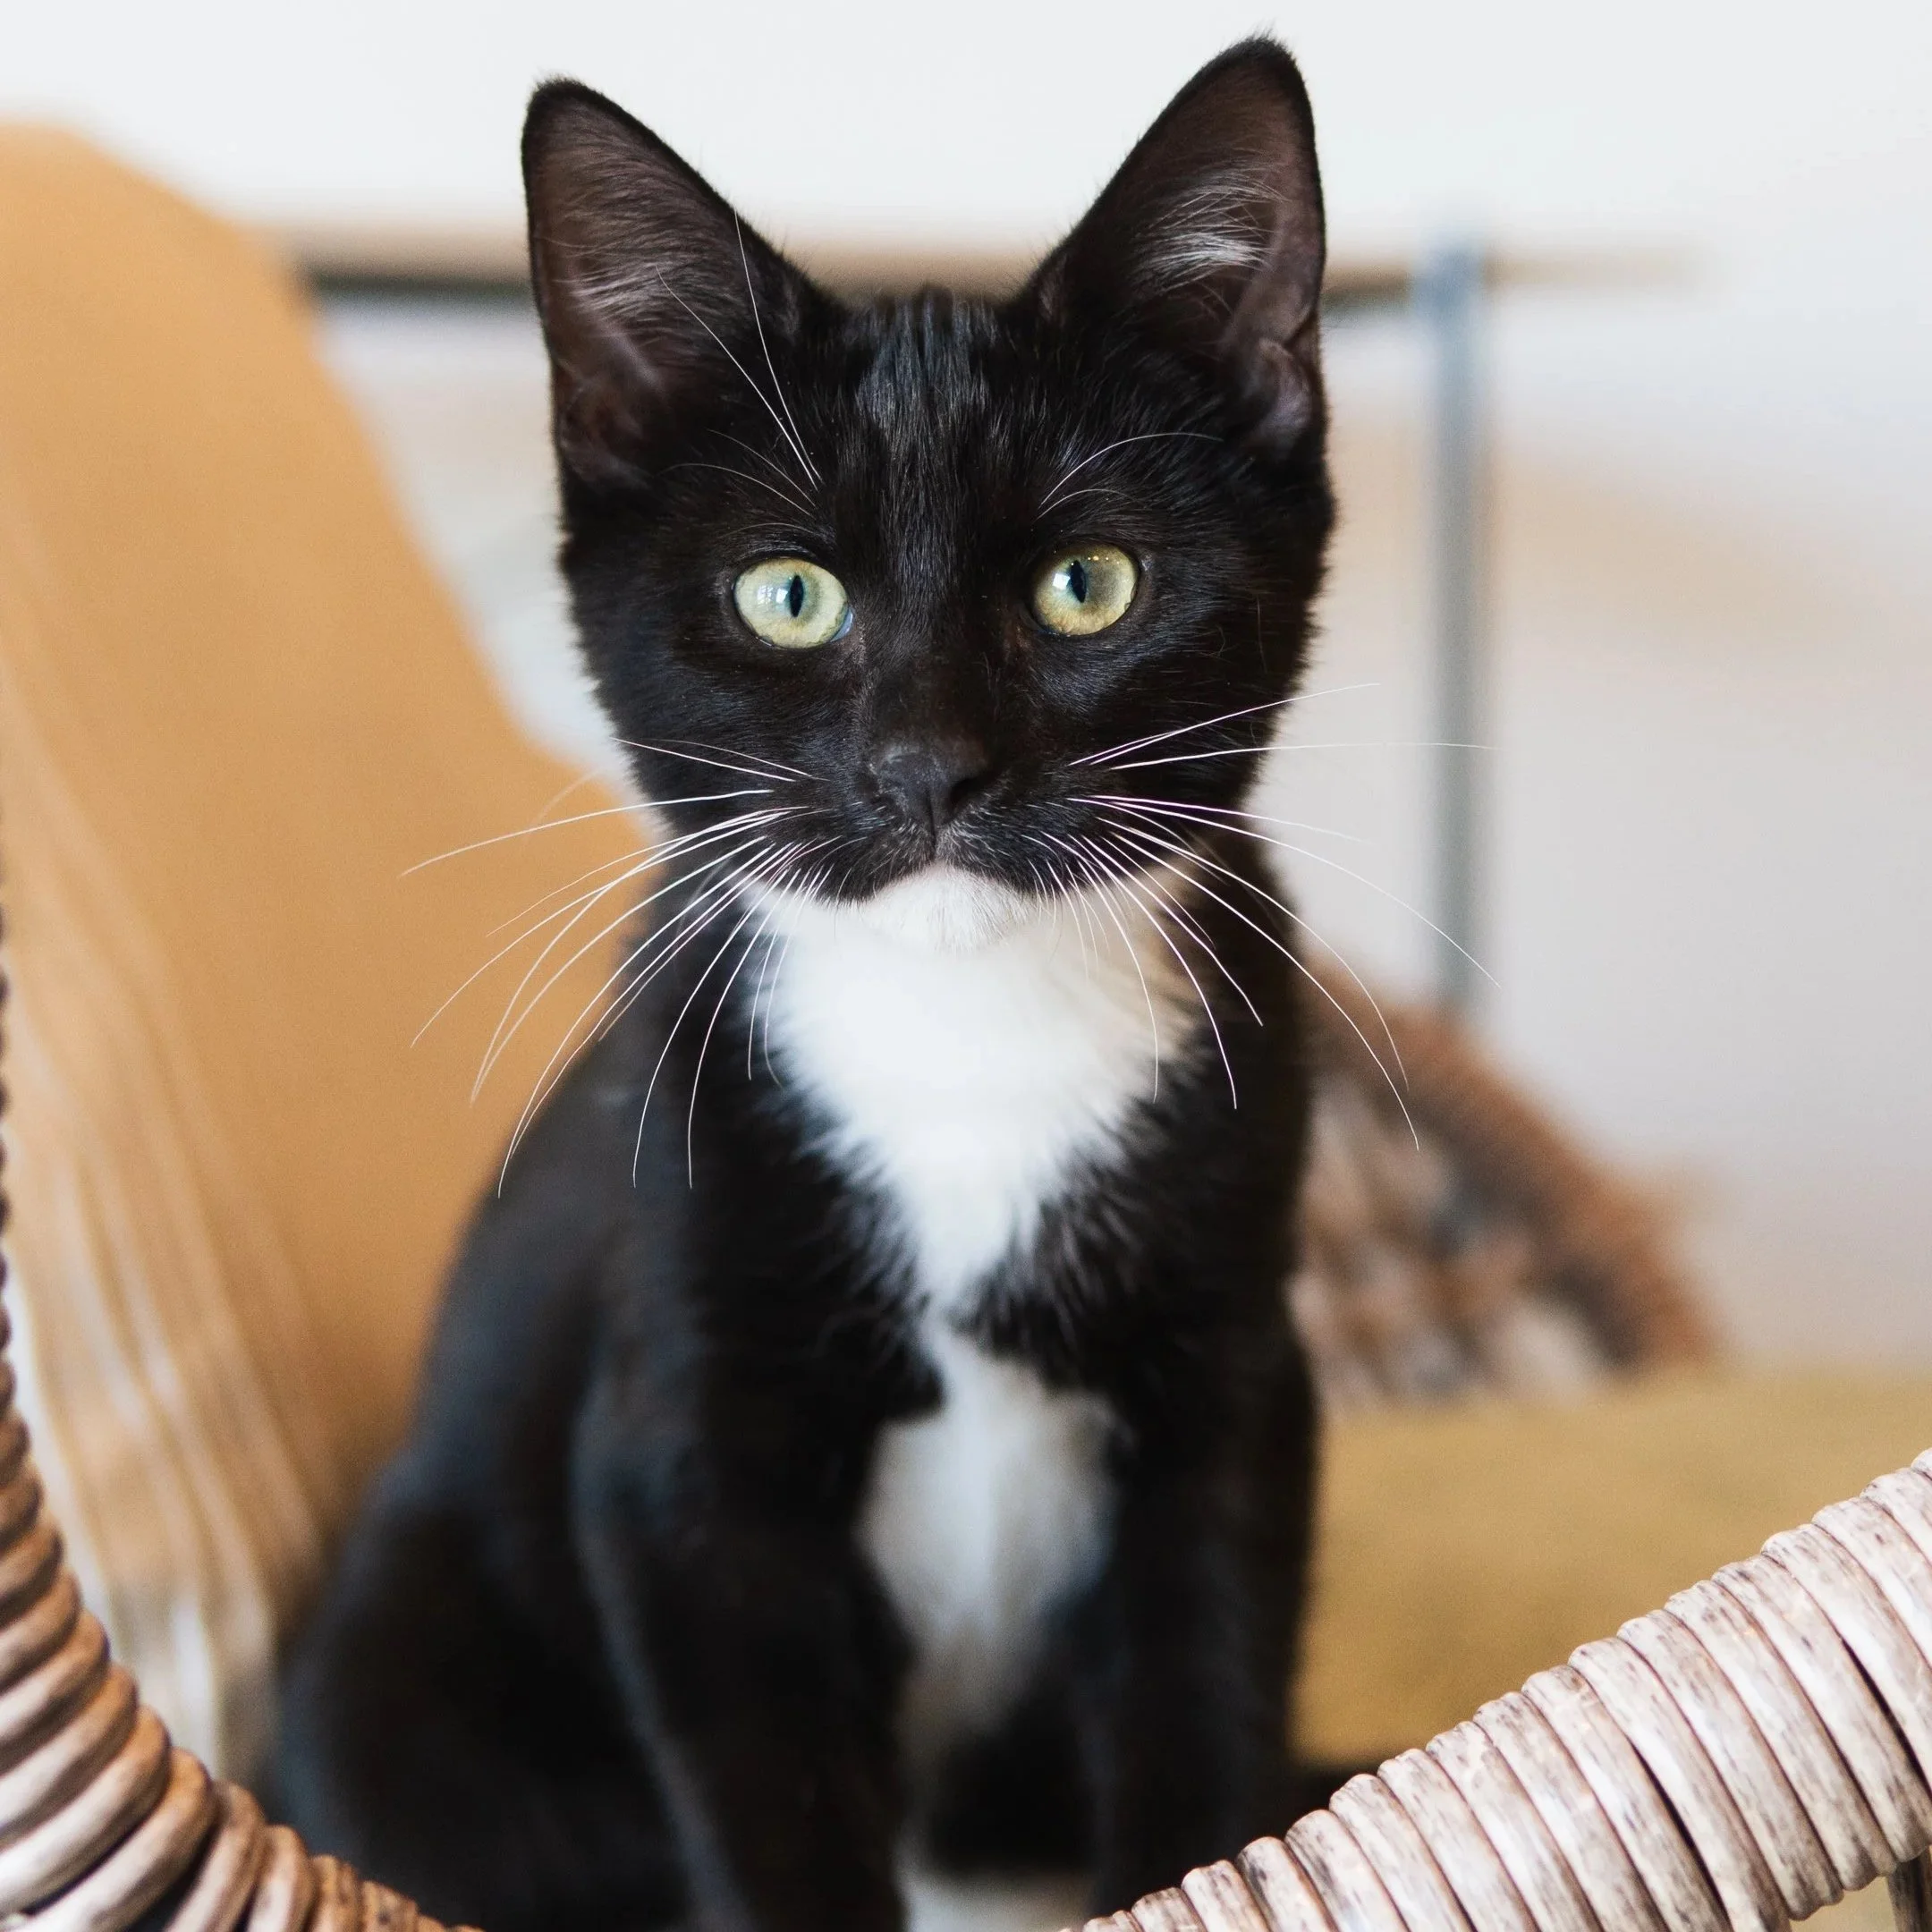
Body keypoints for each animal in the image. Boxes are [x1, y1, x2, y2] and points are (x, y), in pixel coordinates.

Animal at [279, 36, 1335, 1932]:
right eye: (789, 595)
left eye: (1088, 586)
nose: (929, 768)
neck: (965, 1048)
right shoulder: (682, 1446)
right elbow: (770, 1795)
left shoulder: (1230, 1392)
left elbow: (1207, 1711)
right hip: (387, 1672)